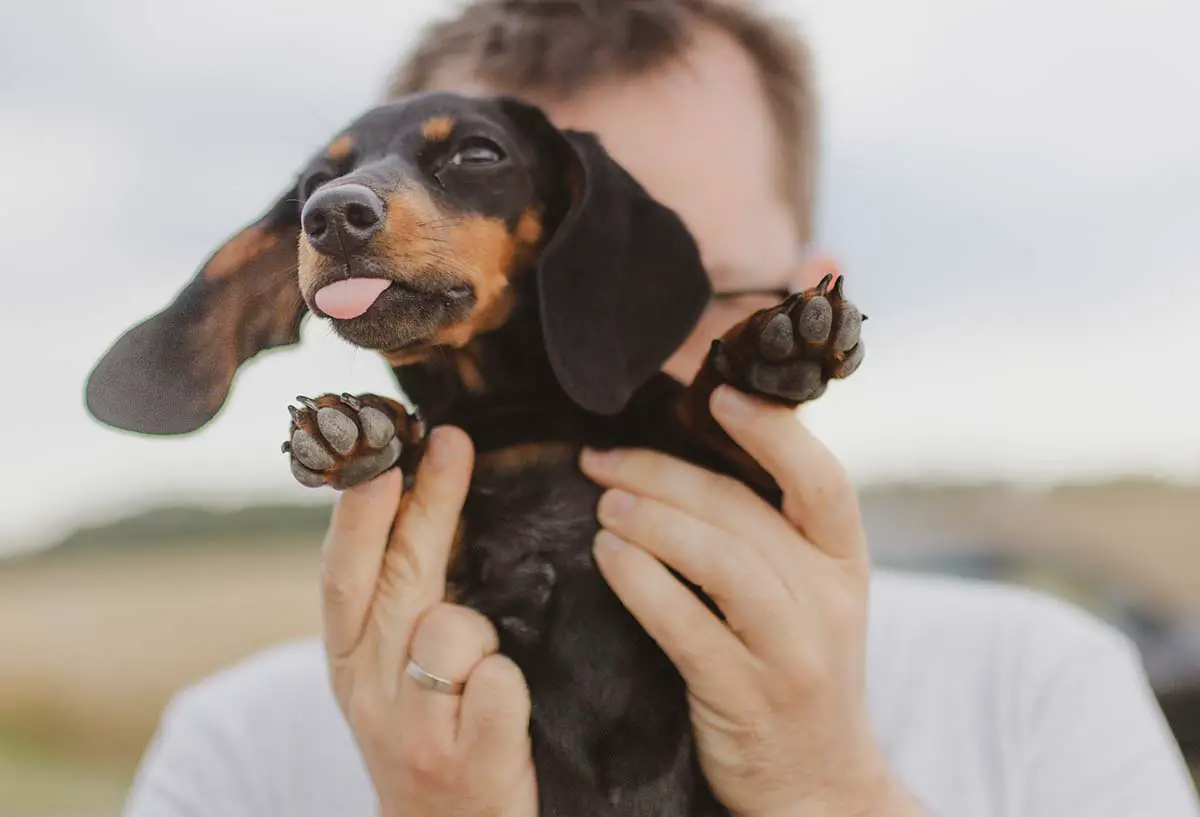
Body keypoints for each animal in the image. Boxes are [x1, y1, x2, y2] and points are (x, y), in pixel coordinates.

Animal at [88, 90, 868, 815]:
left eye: (478, 153)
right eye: (314, 179)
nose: (331, 215)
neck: (521, 419)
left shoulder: (743, 496)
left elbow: (713, 421)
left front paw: (770, 346)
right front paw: (367, 429)